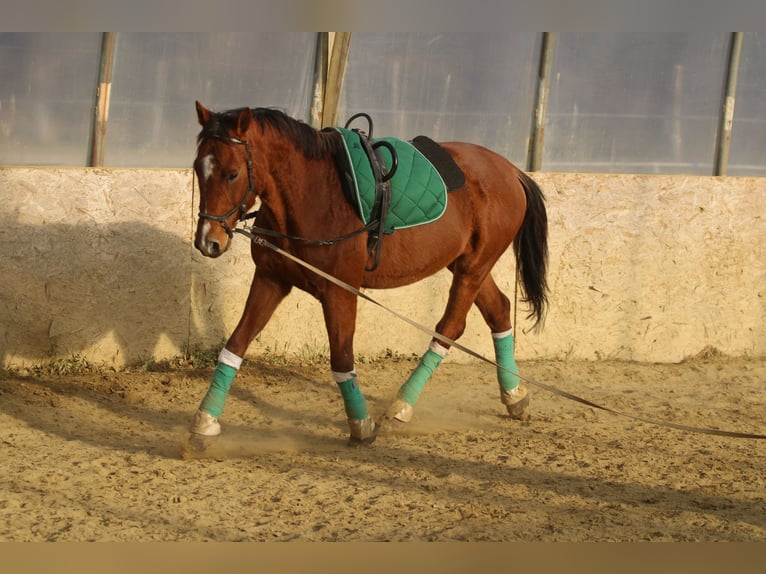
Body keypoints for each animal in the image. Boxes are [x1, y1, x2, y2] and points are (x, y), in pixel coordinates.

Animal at [189, 102, 548, 446]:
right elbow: (236, 345)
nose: (208, 242)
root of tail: (510, 170)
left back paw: (403, 404)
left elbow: (341, 359)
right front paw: (205, 421)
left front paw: (361, 426)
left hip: (473, 268)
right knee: (499, 310)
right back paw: (515, 396)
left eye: (233, 174)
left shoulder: (340, 291)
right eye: (197, 169)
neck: (314, 196)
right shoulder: (270, 280)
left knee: (450, 328)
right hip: (468, 265)